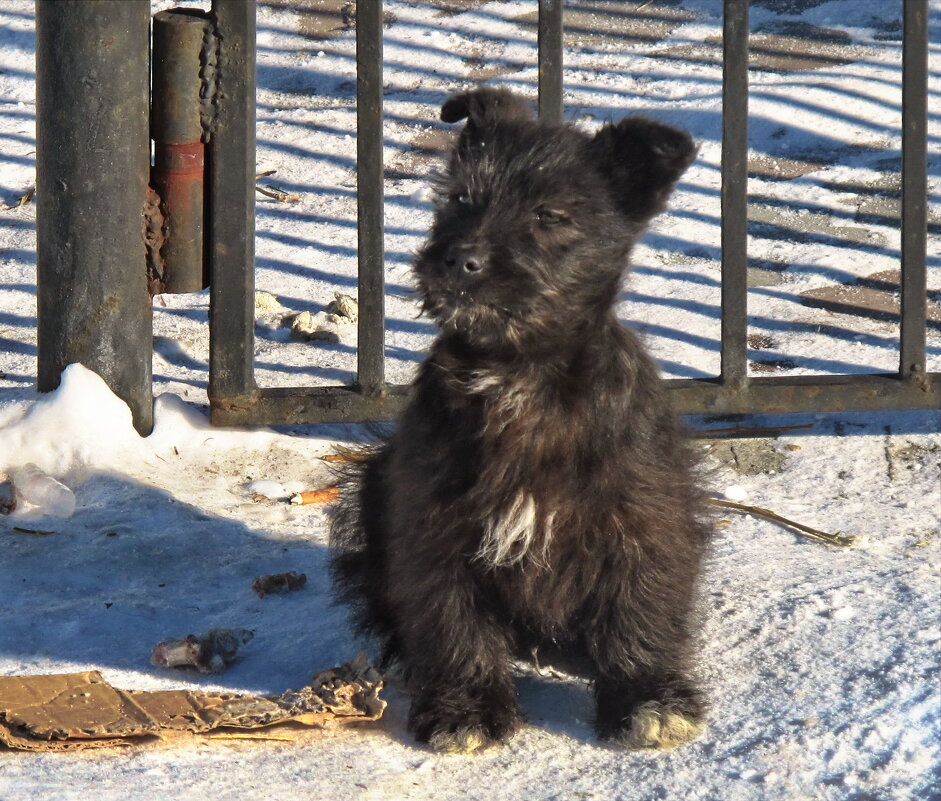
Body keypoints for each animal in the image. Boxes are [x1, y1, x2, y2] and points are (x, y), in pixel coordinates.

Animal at [330, 87, 704, 752]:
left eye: (550, 216)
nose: (459, 260)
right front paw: (466, 708)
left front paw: (650, 697)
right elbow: (452, 621)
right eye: (459, 198)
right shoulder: (434, 525)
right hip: (372, 490)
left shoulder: (643, 517)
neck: (519, 373)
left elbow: (642, 605)